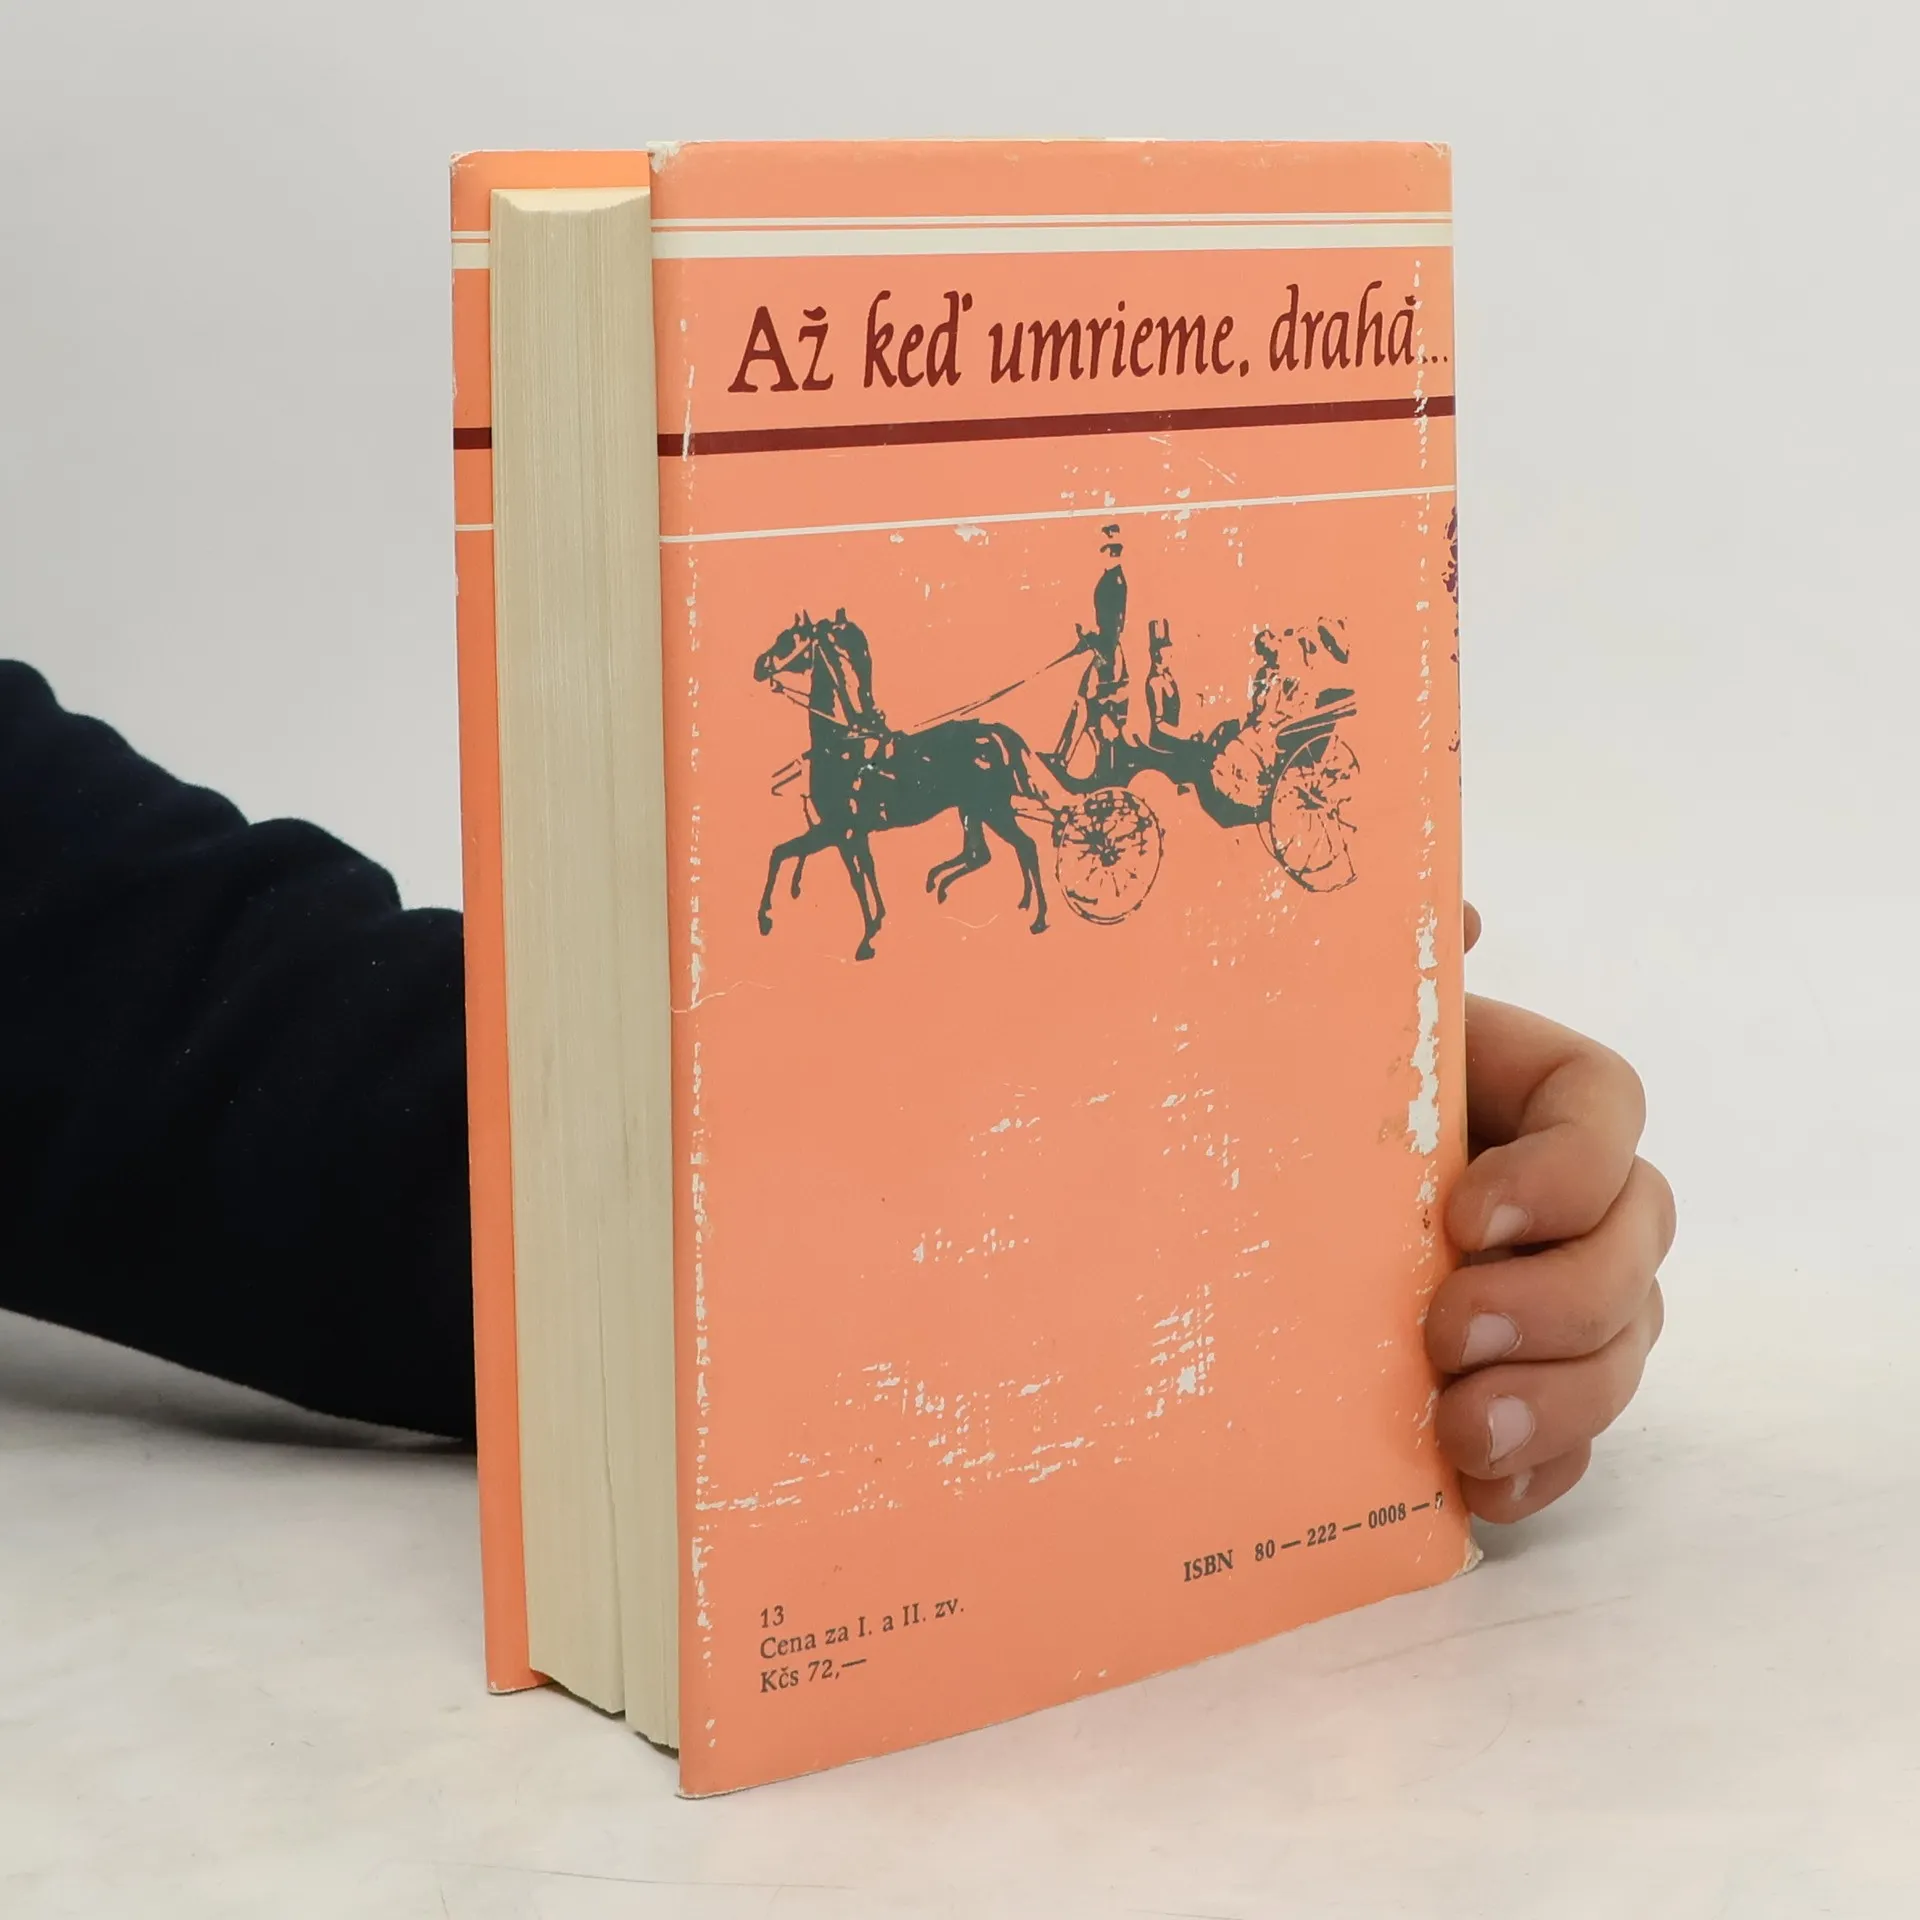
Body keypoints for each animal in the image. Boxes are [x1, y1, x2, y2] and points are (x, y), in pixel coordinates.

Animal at [751, 612, 1051, 961]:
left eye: (788, 639)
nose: (759, 666)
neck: (844, 745)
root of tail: (995, 734)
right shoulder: (840, 830)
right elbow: (784, 854)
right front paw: (766, 918)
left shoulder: (842, 830)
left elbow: (856, 877)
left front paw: (867, 937)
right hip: (975, 809)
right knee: (987, 853)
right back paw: (1001, 896)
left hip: (992, 808)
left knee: (1024, 847)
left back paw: (1038, 917)